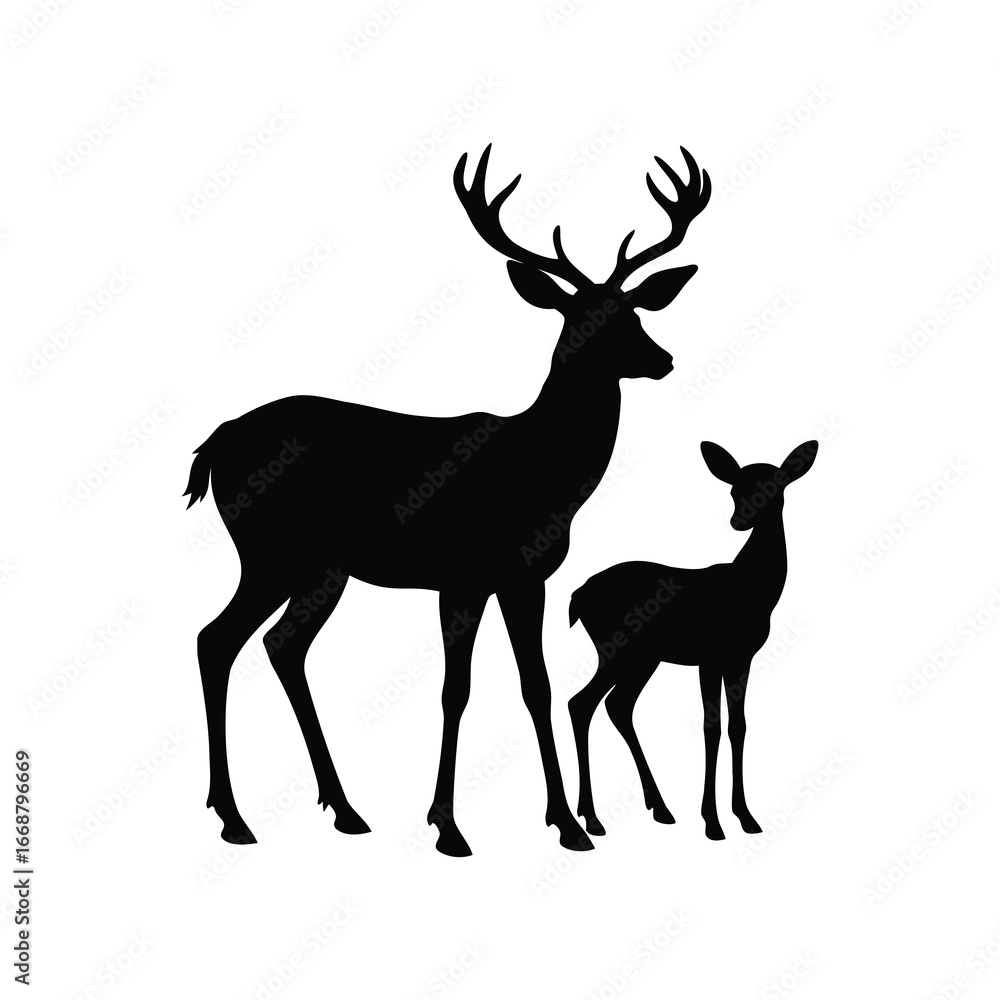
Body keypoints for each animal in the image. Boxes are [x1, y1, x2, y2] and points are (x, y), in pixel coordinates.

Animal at [184, 145, 711, 856]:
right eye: (580, 319)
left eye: (634, 312)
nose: (662, 359)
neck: (545, 473)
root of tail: (217, 442)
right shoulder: (475, 572)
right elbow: (468, 688)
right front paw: (460, 826)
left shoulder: (512, 577)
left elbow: (526, 685)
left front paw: (551, 821)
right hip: (270, 550)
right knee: (217, 640)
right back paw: (234, 818)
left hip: (322, 568)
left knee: (282, 647)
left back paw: (344, 808)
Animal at [568, 439, 817, 841]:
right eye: (733, 489)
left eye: (775, 485)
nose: (738, 520)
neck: (754, 590)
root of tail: (577, 597)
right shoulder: (711, 656)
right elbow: (710, 727)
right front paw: (712, 822)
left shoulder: (741, 658)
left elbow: (737, 726)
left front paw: (746, 817)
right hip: (617, 649)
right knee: (582, 702)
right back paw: (592, 818)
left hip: (644, 657)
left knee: (616, 705)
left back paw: (659, 807)